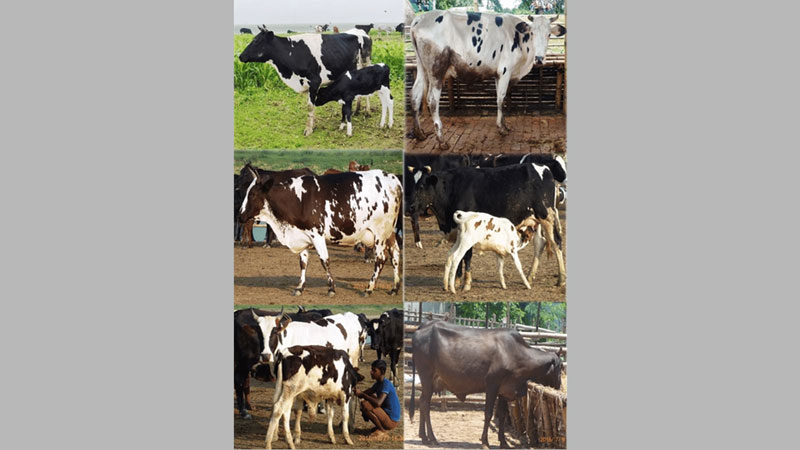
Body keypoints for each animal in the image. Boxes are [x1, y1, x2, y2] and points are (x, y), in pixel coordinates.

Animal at [238, 26, 372, 136]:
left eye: (256, 41)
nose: (240, 56)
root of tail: (361, 31)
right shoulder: (305, 83)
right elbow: (311, 106)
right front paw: (313, 124)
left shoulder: (315, 81)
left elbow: (310, 106)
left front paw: (308, 129)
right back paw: (357, 110)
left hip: (366, 63)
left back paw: (367, 111)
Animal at [239, 168, 402, 297]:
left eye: (252, 194)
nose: (240, 215)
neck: (298, 199)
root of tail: (393, 180)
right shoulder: (303, 236)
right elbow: (303, 262)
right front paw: (299, 288)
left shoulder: (316, 235)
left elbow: (324, 261)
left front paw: (331, 288)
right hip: (390, 232)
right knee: (395, 254)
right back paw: (395, 287)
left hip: (380, 234)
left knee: (381, 259)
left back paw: (369, 288)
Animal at [409, 162, 566, 290]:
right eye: (413, 185)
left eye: (422, 186)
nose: (410, 207)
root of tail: (545, 168)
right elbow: (458, 256)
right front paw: (457, 281)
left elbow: (467, 255)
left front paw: (466, 283)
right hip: (536, 220)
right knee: (540, 243)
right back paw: (529, 277)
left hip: (547, 216)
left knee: (556, 242)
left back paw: (561, 279)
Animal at [410, 11, 566, 149]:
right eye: (532, 33)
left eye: (549, 34)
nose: (539, 59)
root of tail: (419, 19)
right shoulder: (505, 70)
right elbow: (501, 98)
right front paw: (501, 129)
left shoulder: (498, 74)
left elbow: (500, 98)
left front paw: (504, 125)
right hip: (436, 70)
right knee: (432, 100)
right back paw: (441, 141)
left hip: (422, 68)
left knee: (416, 94)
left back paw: (419, 134)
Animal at [410, 320, 563, 448]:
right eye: (560, 368)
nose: (559, 387)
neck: (516, 353)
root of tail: (424, 326)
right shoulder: (491, 385)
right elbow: (488, 413)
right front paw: (485, 442)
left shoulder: (504, 390)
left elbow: (502, 415)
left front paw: (503, 443)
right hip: (426, 377)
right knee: (425, 404)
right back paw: (432, 438)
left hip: (429, 383)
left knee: (422, 402)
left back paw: (424, 437)